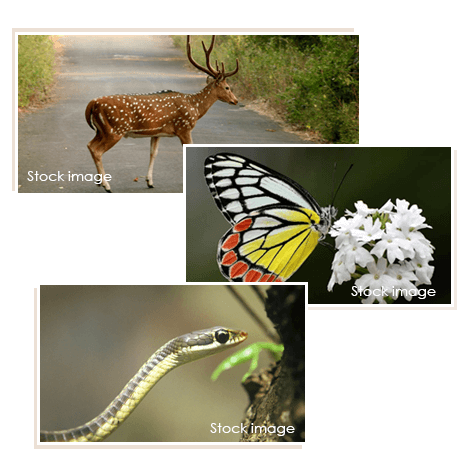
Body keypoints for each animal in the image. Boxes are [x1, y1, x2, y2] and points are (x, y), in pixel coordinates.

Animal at [84, 35, 241, 192]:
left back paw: (99, 182)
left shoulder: (157, 132)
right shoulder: (184, 128)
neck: (194, 108)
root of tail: (92, 103)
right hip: (115, 129)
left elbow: (153, 153)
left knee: (90, 145)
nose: (236, 100)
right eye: (227, 87)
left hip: (101, 130)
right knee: (97, 150)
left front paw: (150, 182)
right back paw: (106, 185)